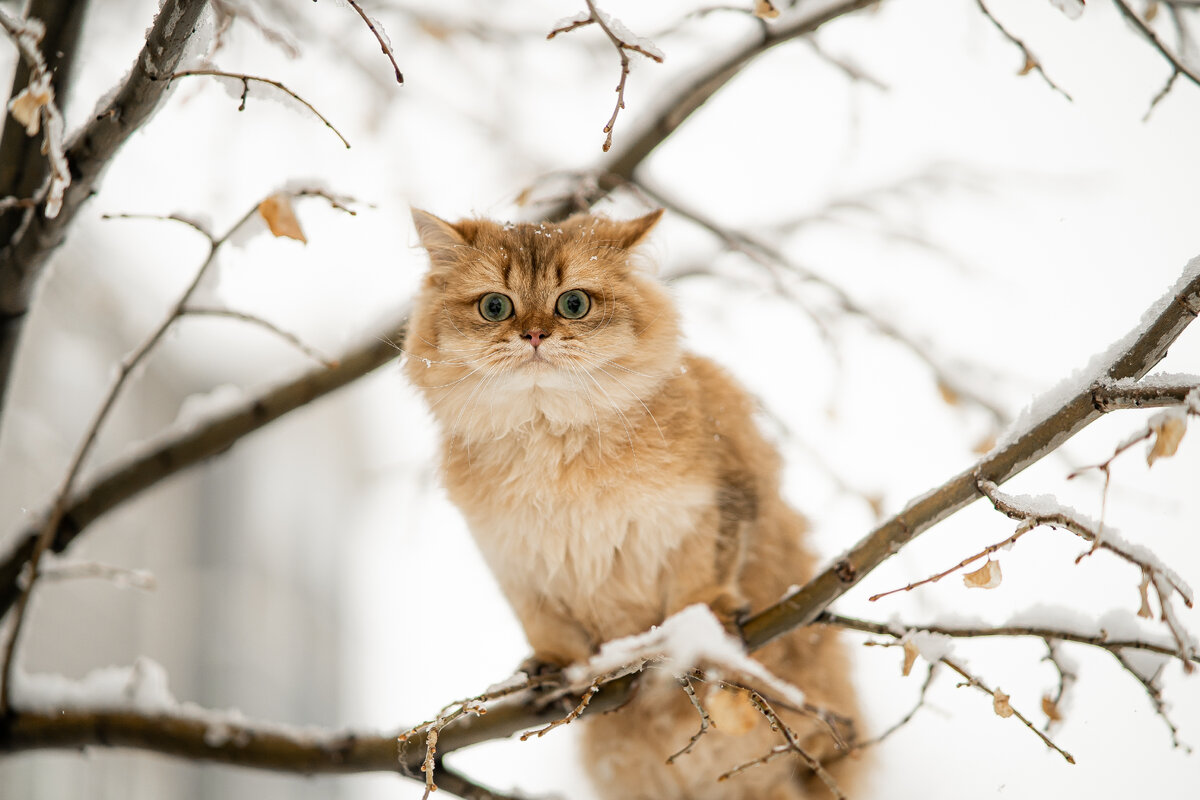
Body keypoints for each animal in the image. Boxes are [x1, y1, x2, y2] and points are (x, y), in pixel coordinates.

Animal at [408, 208, 859, 800]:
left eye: (574, 304)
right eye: (495, 307)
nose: (534, 335)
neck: (552, 447)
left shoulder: (720, 499)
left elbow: (700, 583)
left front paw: (704, 626)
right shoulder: (514, 562)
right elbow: (546, 628)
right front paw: (551, 669)